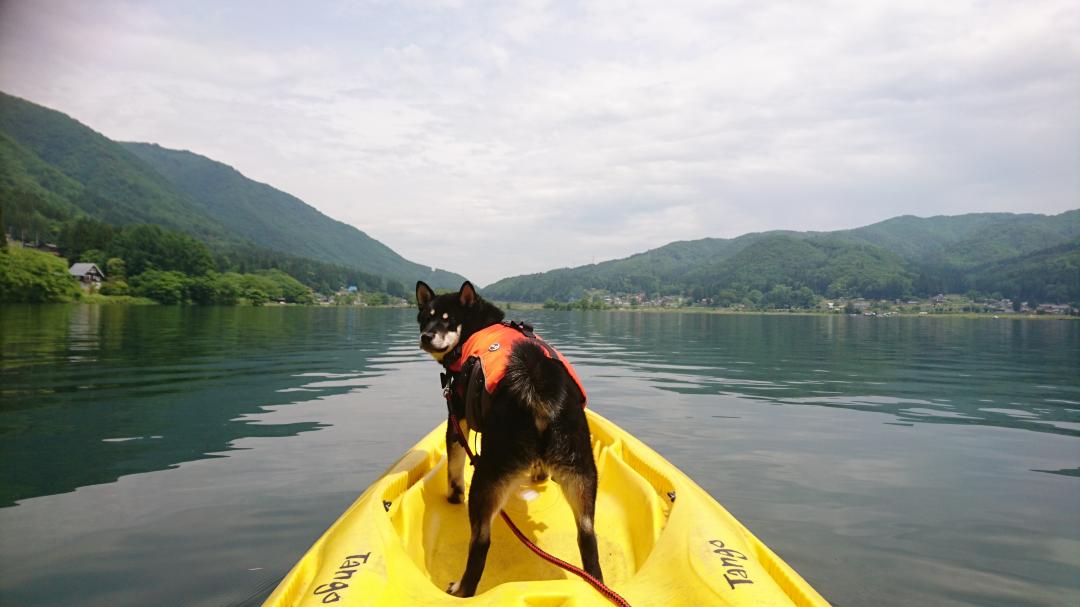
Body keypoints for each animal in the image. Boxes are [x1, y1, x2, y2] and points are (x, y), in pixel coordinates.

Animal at [412, 280, 604, 596]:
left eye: (448, 320)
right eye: (425, 318)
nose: (426, 336)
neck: (477, 327)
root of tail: (539, 383)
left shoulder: (456, 418)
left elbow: (454, 469)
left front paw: (453, 497)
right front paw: (539, 475)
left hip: (488, 476)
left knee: (480, 543)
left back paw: (462, 589)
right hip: (582, 474)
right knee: (588, 538)